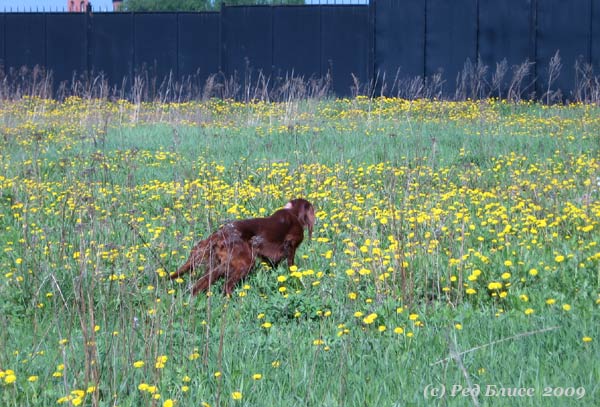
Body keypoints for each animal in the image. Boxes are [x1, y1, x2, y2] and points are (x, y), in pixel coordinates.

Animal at [171, 198, 316, 296]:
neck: (292, 213)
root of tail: (218, 234)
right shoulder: (291, 247)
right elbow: (292, 267)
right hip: (245, 262)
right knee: (226, 287)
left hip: (218, 266)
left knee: (198, 286)